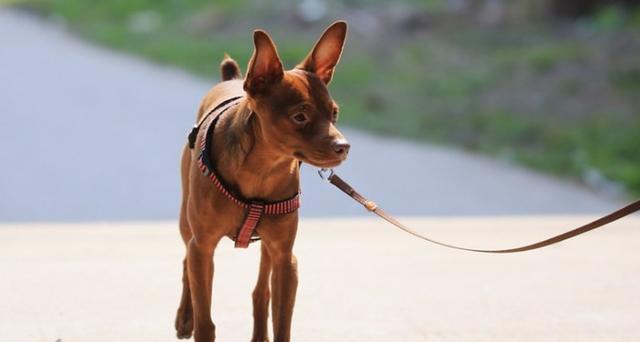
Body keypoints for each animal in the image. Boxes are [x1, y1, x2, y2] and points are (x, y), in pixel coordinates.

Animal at [175, 22, 350, 342]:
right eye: (300, 116)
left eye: (334, 114)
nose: (343, 147)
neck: (263, 169)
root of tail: (233, 79)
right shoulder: (203, 248)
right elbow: (206, 322)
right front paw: (195, 320)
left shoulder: (285, 259)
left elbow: (282, 322)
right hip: (187, 225)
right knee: (186, 262)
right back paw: (184, 317)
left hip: (270, 246)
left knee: (261, 292)